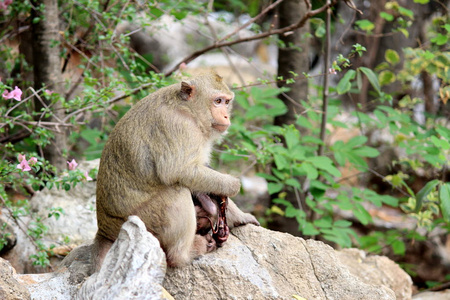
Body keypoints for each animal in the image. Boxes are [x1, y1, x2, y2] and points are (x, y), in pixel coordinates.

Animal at [92, 73, 258, 272]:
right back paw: (183, 255)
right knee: (176, 192)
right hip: (141, 223)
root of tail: (104, 230)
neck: (188, 110)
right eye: (217, 101)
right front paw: (231, 185)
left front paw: (238, 215)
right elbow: (178, 171)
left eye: (226, 102)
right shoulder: (179, 126)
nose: (226, 115)